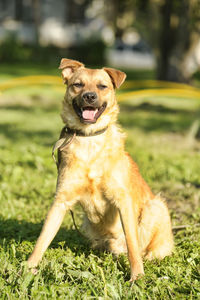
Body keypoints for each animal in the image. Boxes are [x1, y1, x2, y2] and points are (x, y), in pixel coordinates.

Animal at [27, 58, 173, 282]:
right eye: (78, 84)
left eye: (102, 86)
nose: (89, 96)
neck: (89, 140)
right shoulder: (61, 201)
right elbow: (42, 239)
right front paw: (27, 268)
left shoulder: (123, 201)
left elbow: (133, 245)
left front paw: (137, 276)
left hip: (156, 207)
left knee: (146, 248)